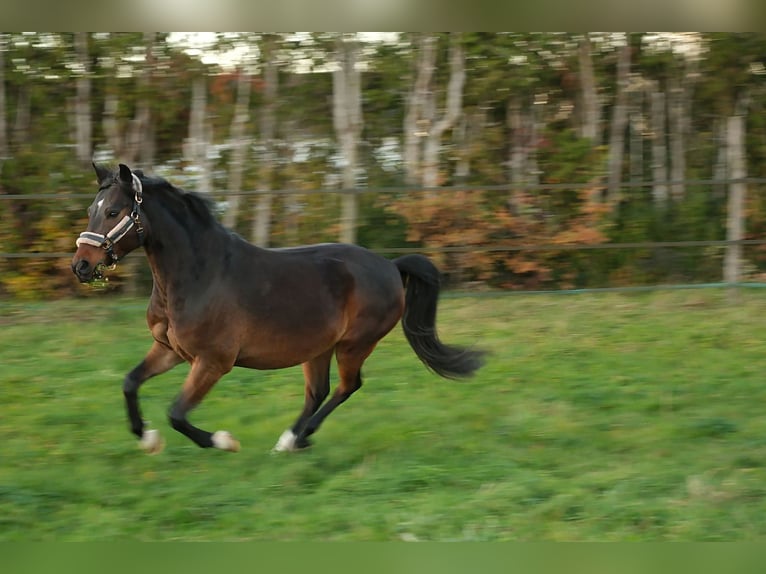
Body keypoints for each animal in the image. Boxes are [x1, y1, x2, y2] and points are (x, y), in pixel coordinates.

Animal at [71, 163, 485, 454]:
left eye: (113, 212)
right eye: (93, 208)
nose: (81, 266)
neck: (199, 274)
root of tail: (391, 265)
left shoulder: (213, 361)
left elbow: (177, 413)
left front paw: (224, 441)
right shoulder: (170, 349)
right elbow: (130, 383)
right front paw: (147, 439)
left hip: (355, 344)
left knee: (347, 387)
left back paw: (295, 439)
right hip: (318, 348)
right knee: (319, 391)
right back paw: (291, 440)